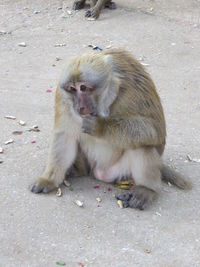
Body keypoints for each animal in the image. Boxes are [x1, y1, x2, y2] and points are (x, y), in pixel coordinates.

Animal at [30, 49, 191, 210]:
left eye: (83, 88)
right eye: (72, 89)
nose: (80, 107)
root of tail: (98, 172)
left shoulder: (132, 86)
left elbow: (156, 130)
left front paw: (100, 126)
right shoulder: (62, 97)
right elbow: (65, 135)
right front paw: (49, 180)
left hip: (119, 171)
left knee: (143, 144)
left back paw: (146, 189)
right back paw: (77, 170)